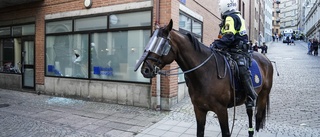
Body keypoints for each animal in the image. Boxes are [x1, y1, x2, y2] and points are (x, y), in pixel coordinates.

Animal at [136, 19, 274, 137]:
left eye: (160, 44)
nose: (145, 70)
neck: (206, 73)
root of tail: (266, 60)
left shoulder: (221, 110)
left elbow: (226, 133)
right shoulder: (199, 109)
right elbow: (200, 132)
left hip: (263, 95)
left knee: (258, 117)